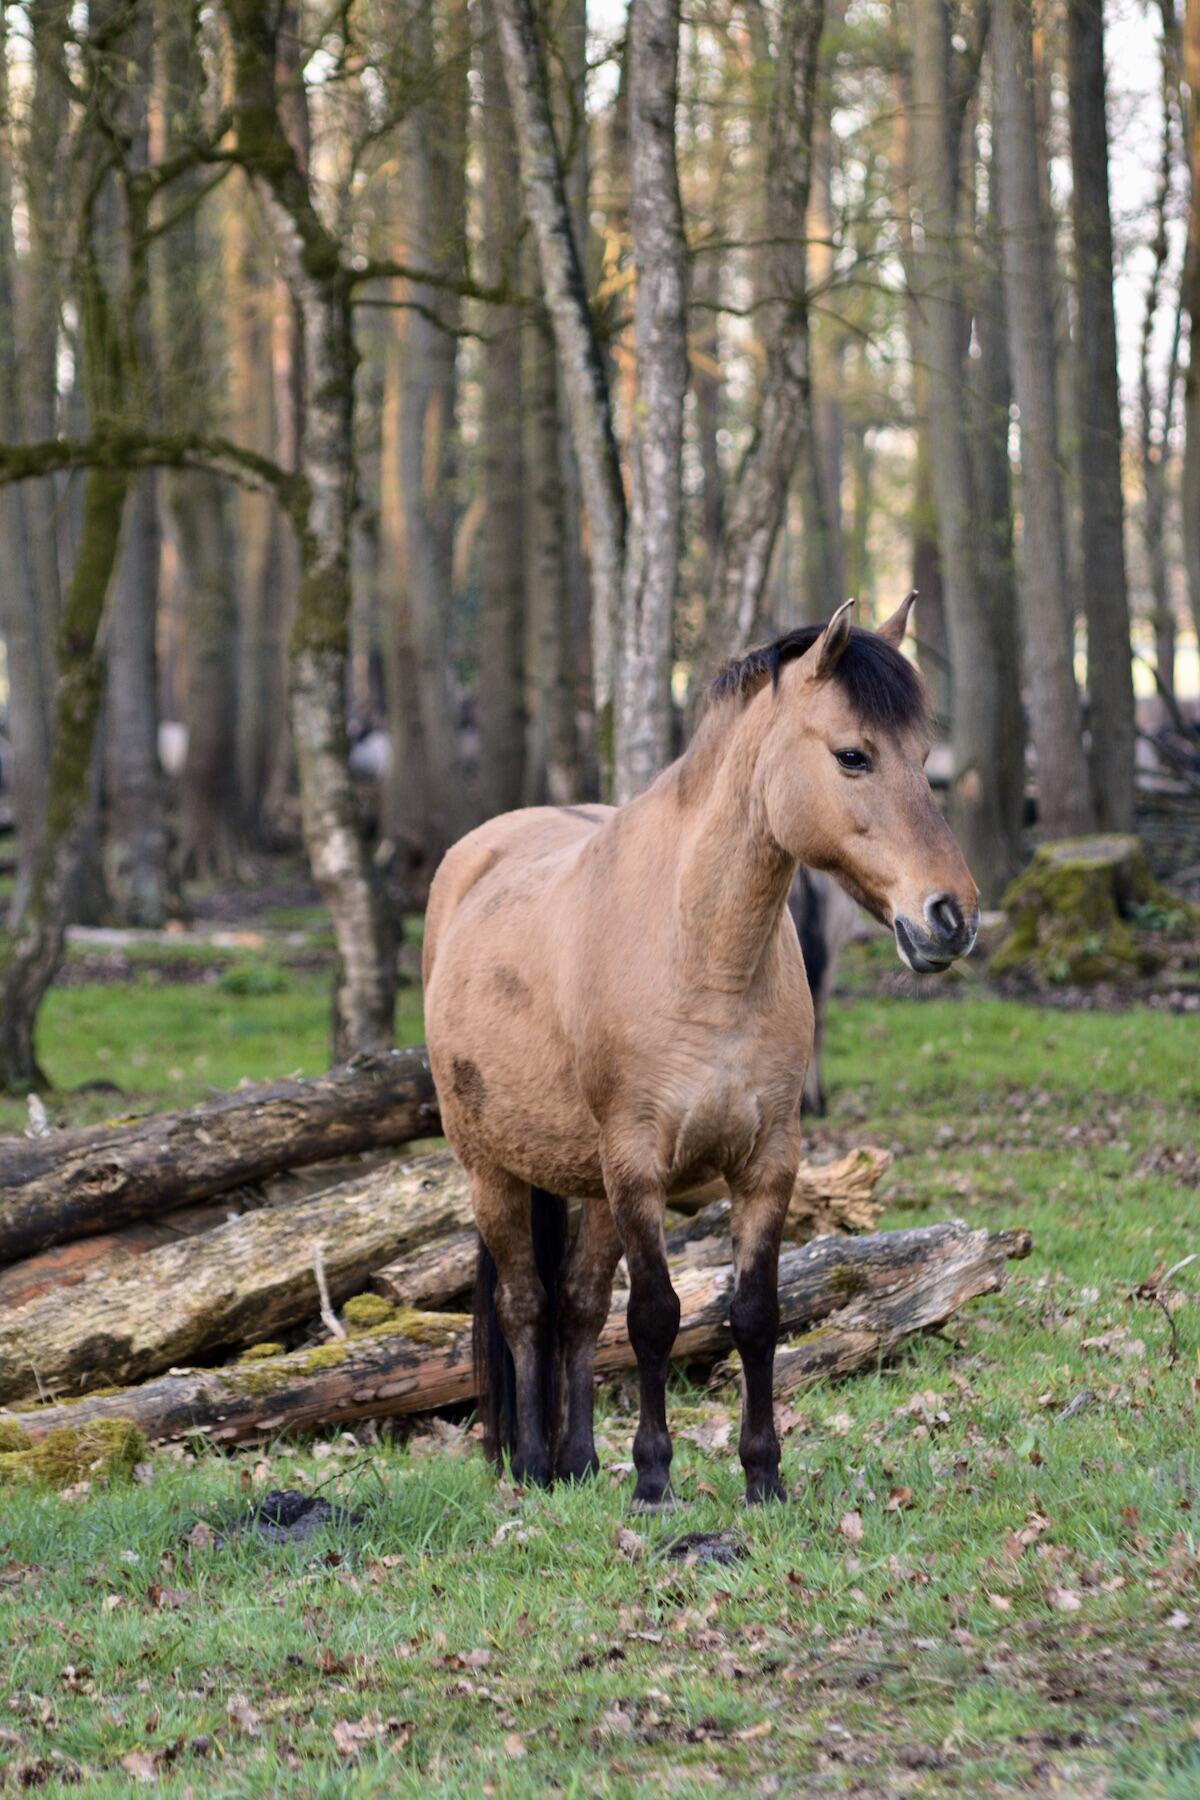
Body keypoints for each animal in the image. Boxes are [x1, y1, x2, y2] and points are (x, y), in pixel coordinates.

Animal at [422, 601, 978, 1504]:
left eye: (923, 758)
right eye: (853, 755)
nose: (952, 917)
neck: (702, 951)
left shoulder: (768, 1163)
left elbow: (753, 1315)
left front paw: (763, 1477)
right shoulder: (637, 1164)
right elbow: (655, 1316)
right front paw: (654, 1480)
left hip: (587, 1184)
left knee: (578, 1304)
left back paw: (578, 1463)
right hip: (494, 1171)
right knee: (526, 1306)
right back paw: (534, 1464)